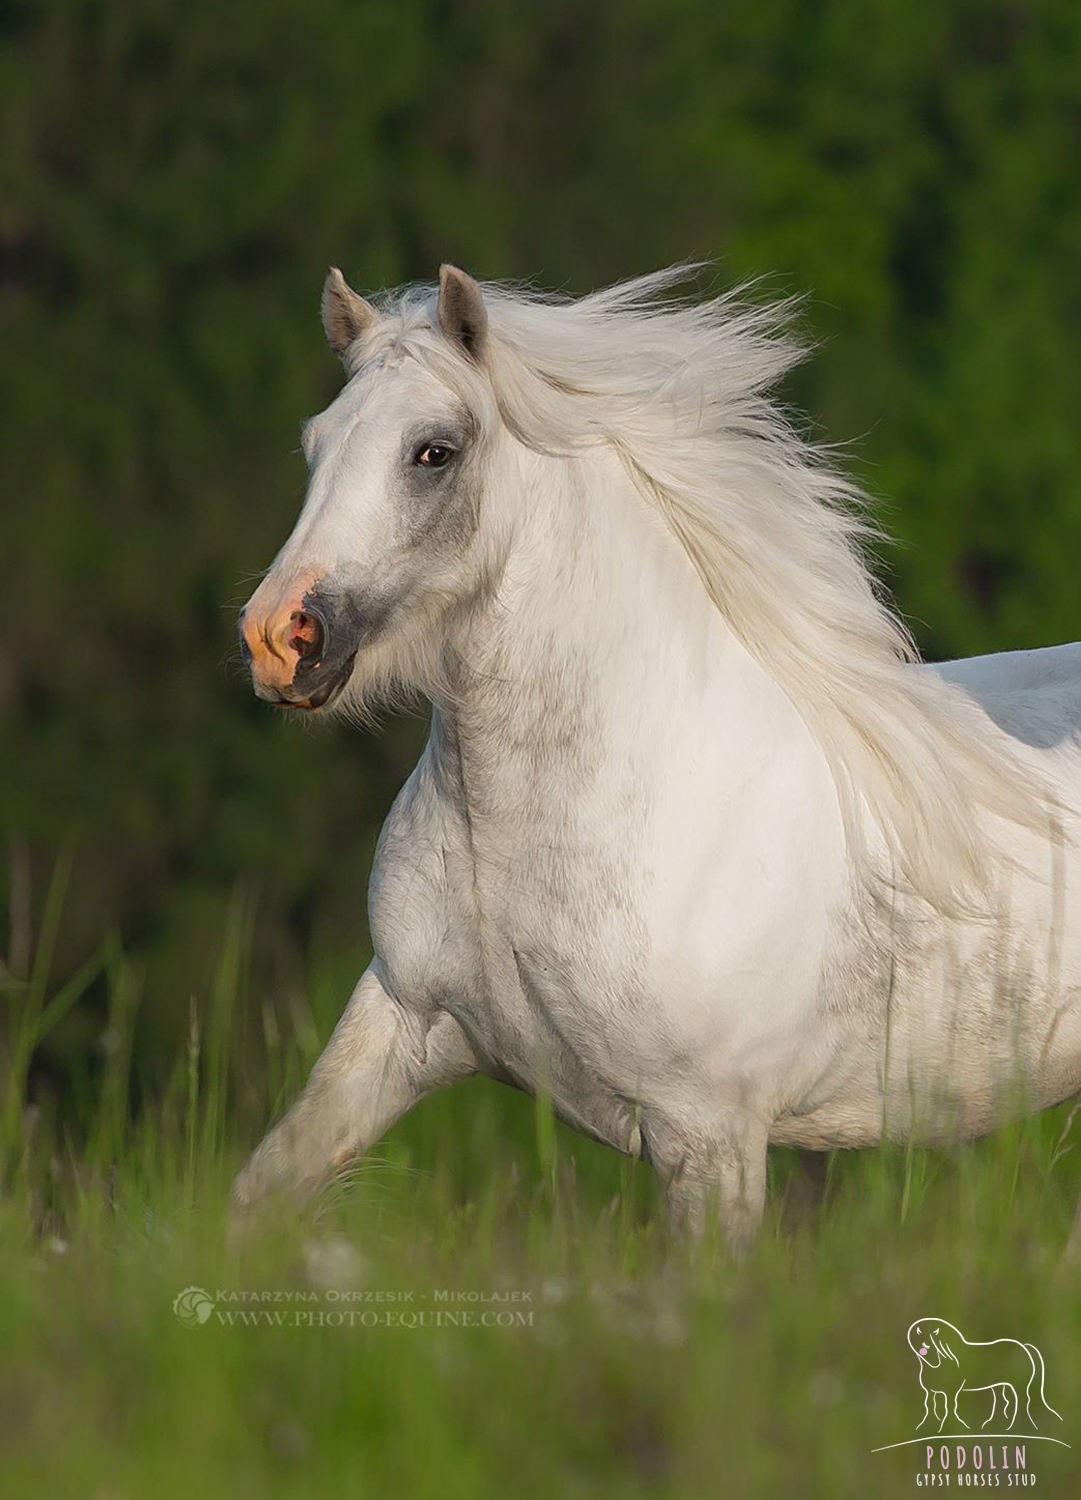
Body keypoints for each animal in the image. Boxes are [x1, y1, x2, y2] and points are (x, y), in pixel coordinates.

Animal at [232, 264, 1079, 1248]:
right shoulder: (401, 1020)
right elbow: (264, 1189)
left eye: (433, 452)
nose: (279, 640)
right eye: (315, 444)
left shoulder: (707, 1134)